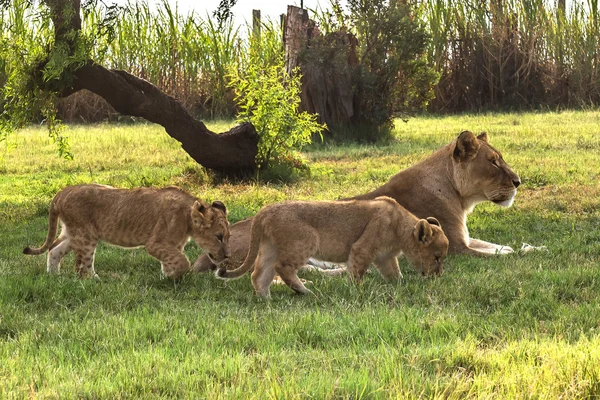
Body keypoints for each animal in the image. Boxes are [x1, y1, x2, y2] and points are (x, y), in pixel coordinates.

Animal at [195, 130, 516, 272]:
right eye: (494, 162)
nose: (518, 182)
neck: (457, 194)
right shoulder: (459, 248)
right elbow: (501, 255)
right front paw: (524, 251)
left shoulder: (466, 240)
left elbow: (498, 246)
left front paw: (520, 245)